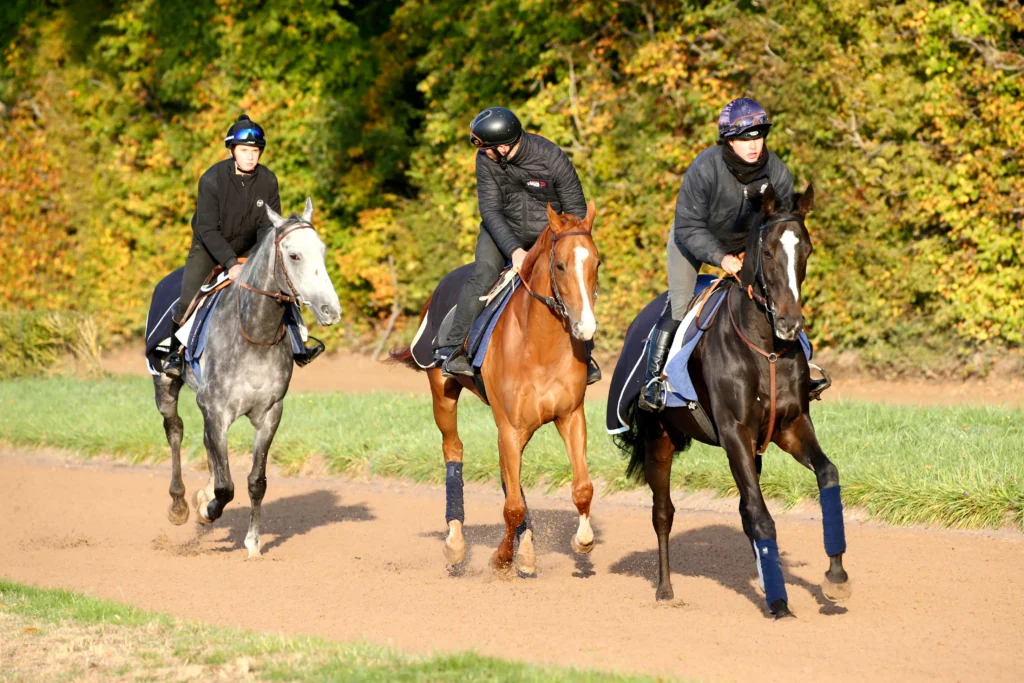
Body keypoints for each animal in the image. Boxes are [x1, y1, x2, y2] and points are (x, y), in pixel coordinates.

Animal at [153, 196, 342, 557]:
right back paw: (179, 505)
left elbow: (256, 481)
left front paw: (253, 543)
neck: (254, 332)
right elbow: (227, 486)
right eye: (294, 255)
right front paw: (208, 510)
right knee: (175, 432)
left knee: (205, 443)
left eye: (323, 250)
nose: (331, 310)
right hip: (165, 386)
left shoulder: (268, 414)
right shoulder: (217, 410)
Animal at [389, 202, 598, 577]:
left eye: (596, 263)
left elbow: (582, 488)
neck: (541, 347)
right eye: (560, 265)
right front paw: (501, 557)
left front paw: (581, 541)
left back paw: (525, 548)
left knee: (506, 474)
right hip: (443, 396)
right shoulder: (510, 426)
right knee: (453, 450)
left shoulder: (569, 417)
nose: (585, 326)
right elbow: (512, 506)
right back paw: (456, 542)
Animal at [614, 185, 847, 618]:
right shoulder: (734, 434)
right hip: (659, 437)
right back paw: (666, 589)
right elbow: (760, 514)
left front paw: (836, 577)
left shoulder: (790, 426)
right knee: (663, 512)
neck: (765, 349)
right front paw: (779, 602)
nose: (790, 323)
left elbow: (827, 475)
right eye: (768, 252)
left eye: (806, 249)